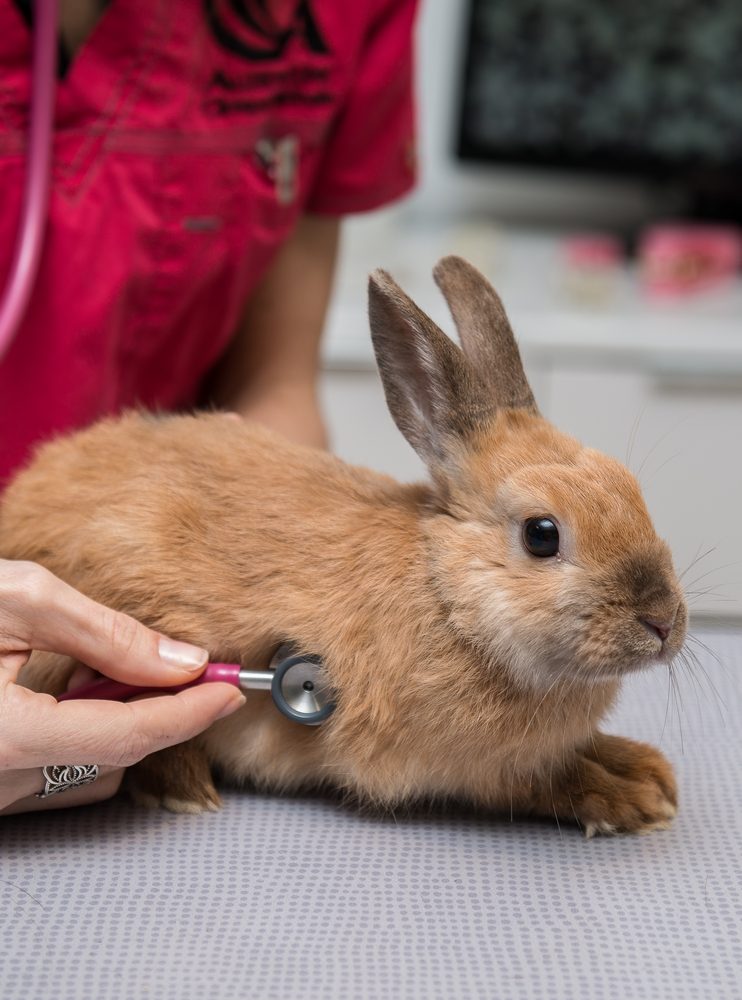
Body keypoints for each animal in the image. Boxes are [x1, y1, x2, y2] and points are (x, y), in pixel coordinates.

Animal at [0, 258, 692, 836]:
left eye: (631, 489)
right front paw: (631, 799)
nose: (662, 623)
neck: (448, 596)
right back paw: (186, 788)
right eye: (542, 535)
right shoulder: (477, 766)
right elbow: (542, 781)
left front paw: (645, 773)